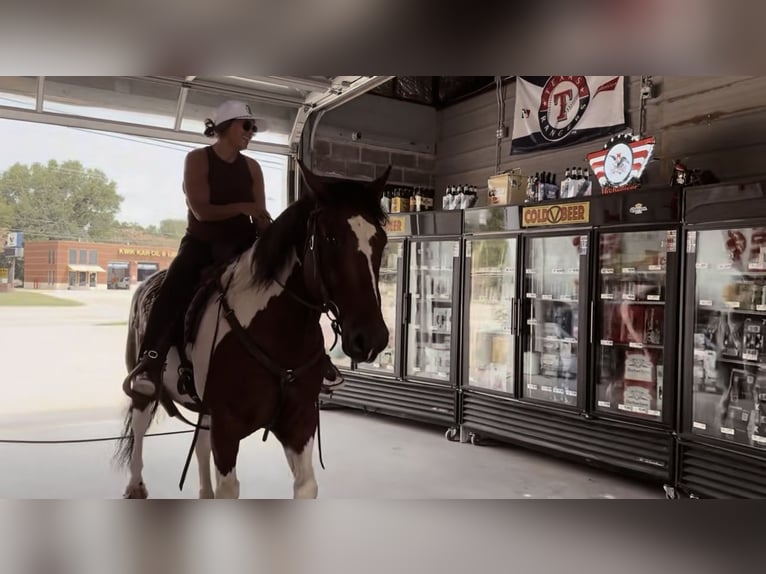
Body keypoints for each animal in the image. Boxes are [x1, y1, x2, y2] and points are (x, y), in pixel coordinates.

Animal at [116, 161, 392, 500]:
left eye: (381, 241)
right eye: (330, 238)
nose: (372, 337)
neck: (277, 333)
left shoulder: (300, 421)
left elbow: (306, 485)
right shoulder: (227, 426)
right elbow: (229, 487)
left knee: (200, 444)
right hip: (144, 383)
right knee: (140, 421)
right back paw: (135, 485)